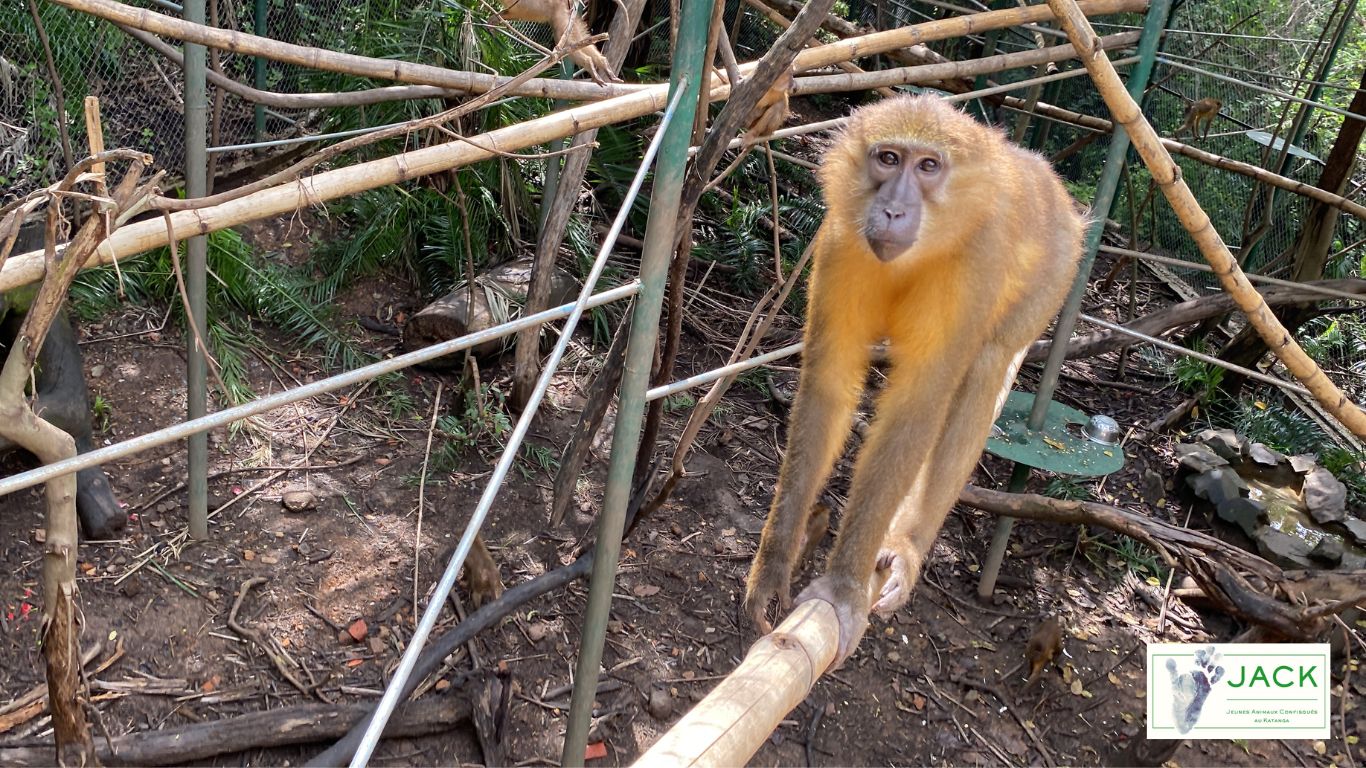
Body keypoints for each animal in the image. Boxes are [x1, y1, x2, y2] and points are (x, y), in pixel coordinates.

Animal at [491, 0, 620, 84]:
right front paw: (495, 19)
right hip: (568, 15)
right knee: (579, 40)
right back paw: (603, 63)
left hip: (559, 12)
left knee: (564, 42)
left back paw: (589, 63)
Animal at [743, 94, 1081, 664]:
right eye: (888, 159)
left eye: (928, 166)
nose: (894, 209)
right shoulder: (841, 241)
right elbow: (828, 386)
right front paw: (774, 561)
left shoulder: (978, 260)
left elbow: (917, 407)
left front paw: (843, 587)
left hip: (1058, 265)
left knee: (987, 364)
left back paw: (908, 541)